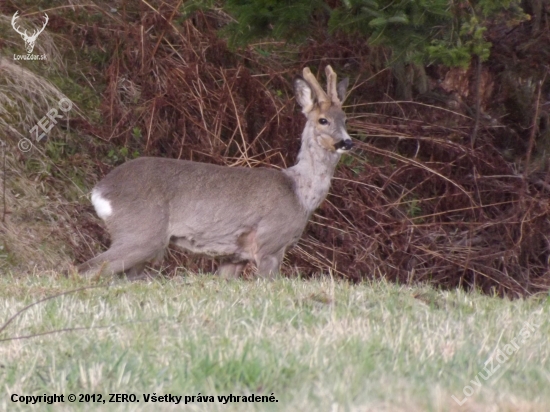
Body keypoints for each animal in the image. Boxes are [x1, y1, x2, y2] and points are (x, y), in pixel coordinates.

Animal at [78, 66, 354, 280]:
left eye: (345, 118)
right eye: (323, 120)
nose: (347, 142)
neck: (300, 193)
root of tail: (99, 191)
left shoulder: (235, 256)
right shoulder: (270, 244)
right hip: (141, 233)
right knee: (85, 269)